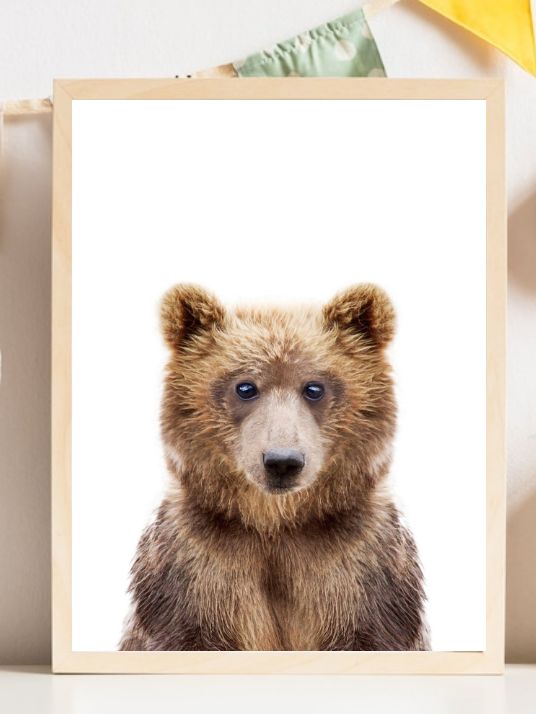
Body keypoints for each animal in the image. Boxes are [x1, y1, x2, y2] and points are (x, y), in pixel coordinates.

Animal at [119, 283, 430, 651]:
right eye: (245, 387)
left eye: (314, 387)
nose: (282, 461)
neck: (276, 523)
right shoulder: (193, 570)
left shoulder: (362, 570)